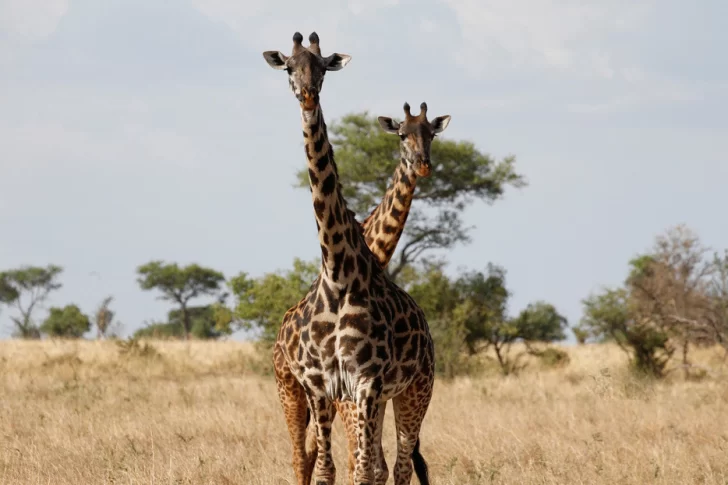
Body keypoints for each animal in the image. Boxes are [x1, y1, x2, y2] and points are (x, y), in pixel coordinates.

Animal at [264, 31, 436, 484]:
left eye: (323, 66)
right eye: (290, 67)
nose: (308, 95)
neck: (341, 271)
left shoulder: (366, 384)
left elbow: (365, 469)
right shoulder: (323, 386)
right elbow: (330, 468)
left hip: (416, 389)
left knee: (399, 464)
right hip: (289, 388)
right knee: (303, 456)